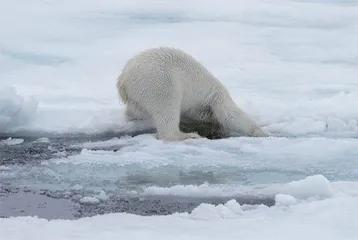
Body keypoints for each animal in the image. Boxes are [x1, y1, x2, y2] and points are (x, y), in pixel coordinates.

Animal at [116, 46, 270, 141]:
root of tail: (123, 78)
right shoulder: (216, 98)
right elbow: (231, 115)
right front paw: (262, 133)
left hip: (136, 94)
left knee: (136, 110)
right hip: (159, 81)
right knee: (167, 108)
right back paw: (188, 135)